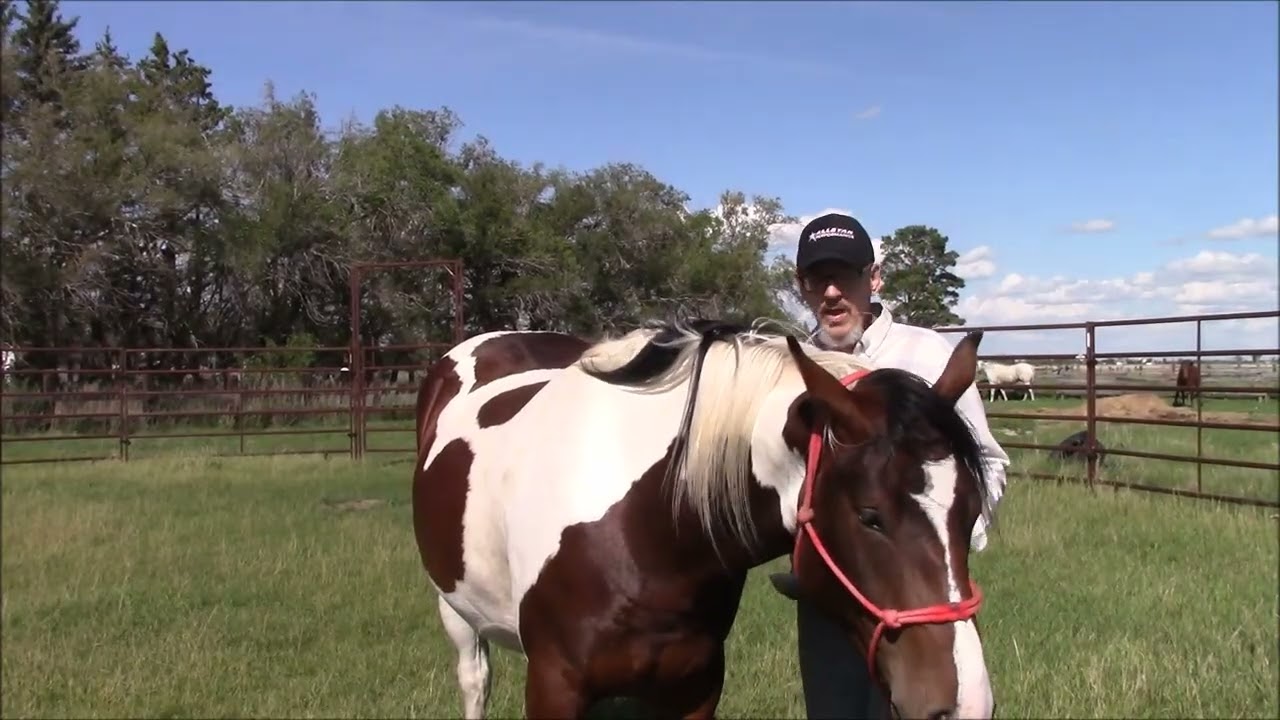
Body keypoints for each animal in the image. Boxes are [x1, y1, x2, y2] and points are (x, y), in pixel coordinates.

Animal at [411, 320, 997, 719]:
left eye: (972, 512)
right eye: (870, 516)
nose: (964, 705)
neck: (645, 534)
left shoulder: (695, 684)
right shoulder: (554, 685)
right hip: (454, 609)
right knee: (475, 680)